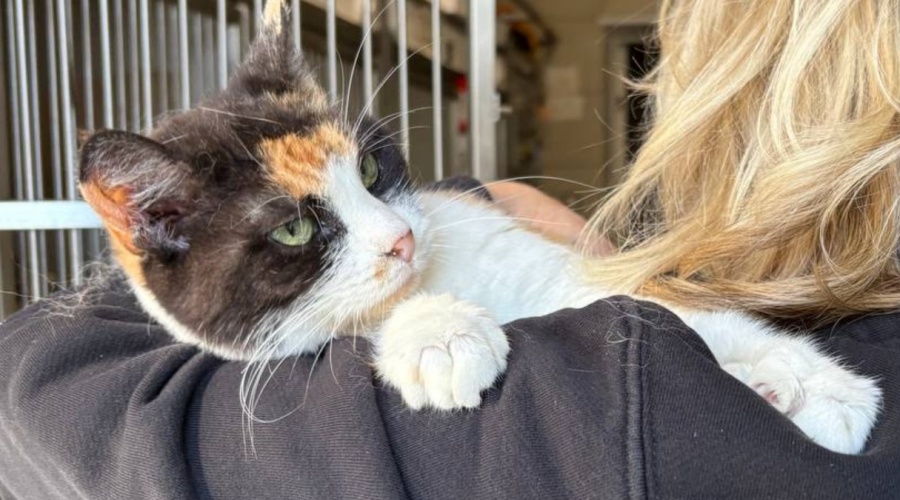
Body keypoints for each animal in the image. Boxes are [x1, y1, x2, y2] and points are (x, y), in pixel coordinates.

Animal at [78, 0, 880, 454]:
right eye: (296, 232)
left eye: (371, 167)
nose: (400, 240)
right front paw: (438, 334)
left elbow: (657, 307)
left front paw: (819, 386)